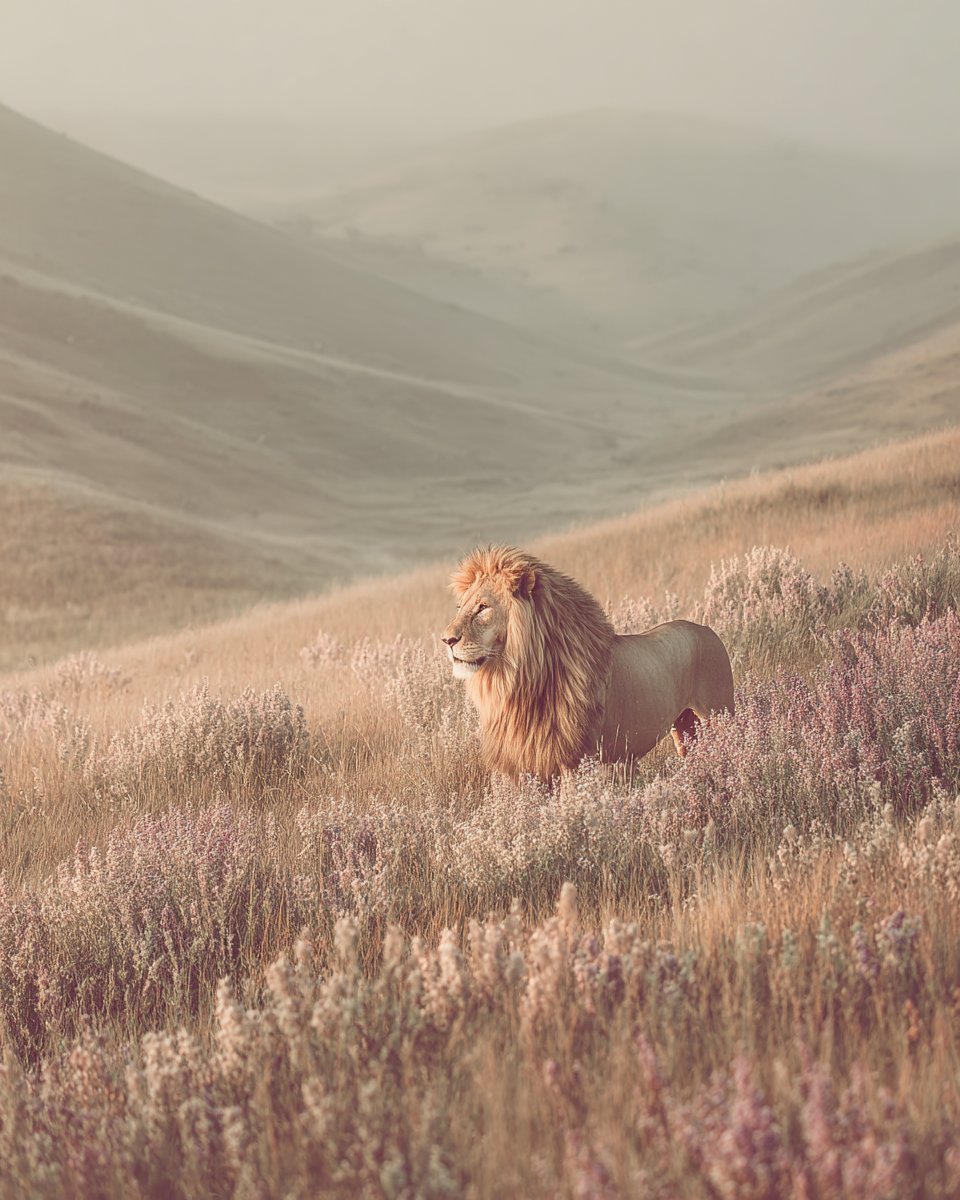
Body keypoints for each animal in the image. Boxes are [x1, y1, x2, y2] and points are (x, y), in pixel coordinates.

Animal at [442, 545, 734, 780]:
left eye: (483, 608)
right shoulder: (529, 767)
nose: (446, 639)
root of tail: (707, 629)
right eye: (459, 607)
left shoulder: (576, 760)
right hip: (685, 728)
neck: (518, 682)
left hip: (719, 714)